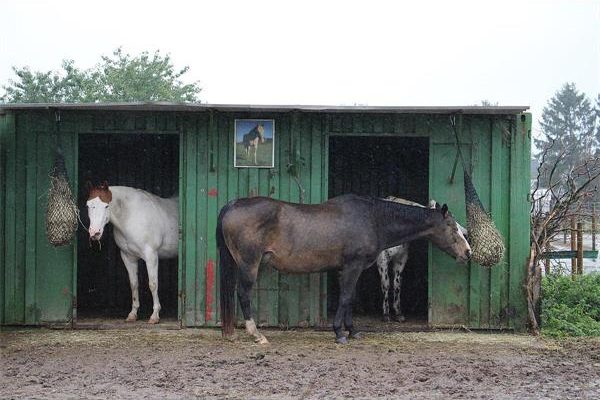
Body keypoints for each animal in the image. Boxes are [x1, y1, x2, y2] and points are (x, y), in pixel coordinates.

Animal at [85, 183, 178, 324]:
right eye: (88, 205)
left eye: (106, 206)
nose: (94, 233)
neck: (132, 216)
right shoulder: (128, 257)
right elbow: (133, 284)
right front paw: (133, 314)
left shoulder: (151, 256)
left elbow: (153, 284)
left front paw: (155, 315)